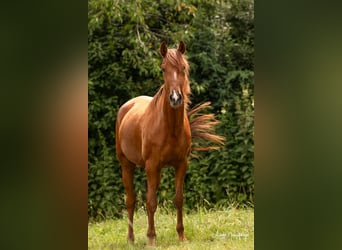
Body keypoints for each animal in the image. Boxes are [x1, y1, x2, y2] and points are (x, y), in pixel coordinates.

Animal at [115, 41, 224, 246]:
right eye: (163, 68)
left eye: (184, 68)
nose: (175, 98)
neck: (170, 127)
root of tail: (127, 106)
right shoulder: (152, 166)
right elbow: (151, 202)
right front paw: (151, 239)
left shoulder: (181, 164)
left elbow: (178, 199)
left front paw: (181, 236)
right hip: (127, 165)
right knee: (131, 201)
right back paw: (131, 239)